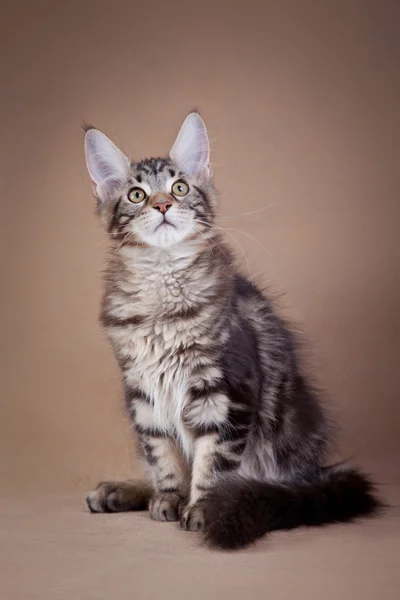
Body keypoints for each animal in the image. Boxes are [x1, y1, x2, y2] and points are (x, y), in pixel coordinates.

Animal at [83, 109, 380, 548]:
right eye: (137, 195)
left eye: (179, 187)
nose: (163, 204)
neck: (162, 288)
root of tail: (315, 471)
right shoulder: (143, 394)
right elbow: (163, 456)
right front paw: (167, 499)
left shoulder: (226, 392)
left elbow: (213, 462)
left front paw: (204, 510)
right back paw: (122, 491)